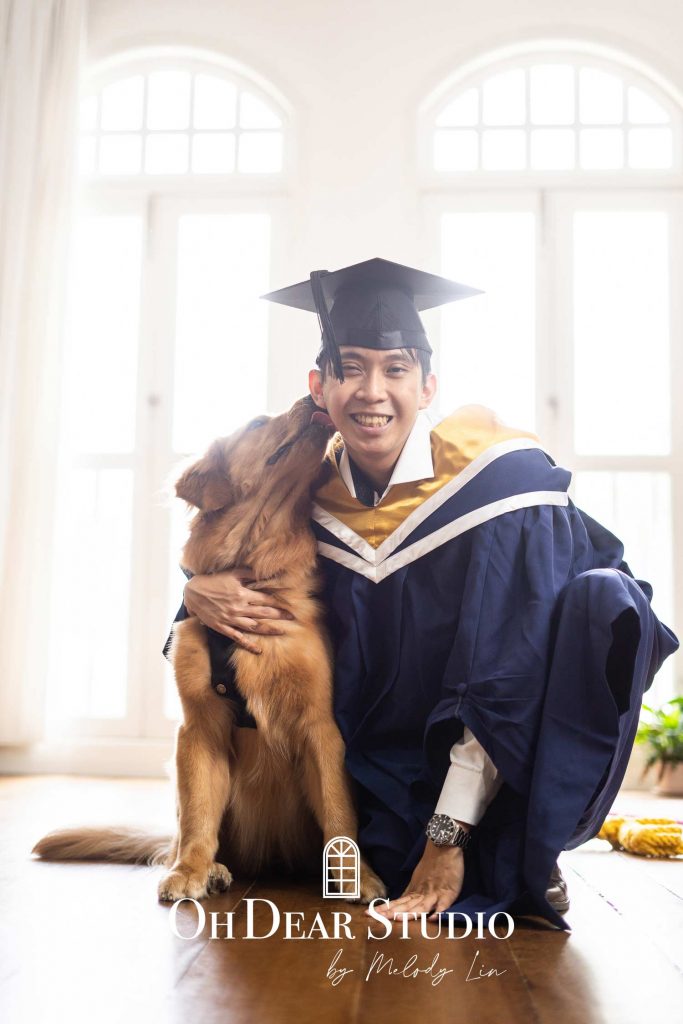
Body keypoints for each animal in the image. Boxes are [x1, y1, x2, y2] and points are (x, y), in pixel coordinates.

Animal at [31, 395, 385, 909]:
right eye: (257, 423)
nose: (312, 399)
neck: (255, 565)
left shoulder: (321, 725)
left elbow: (339, 811)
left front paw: (357, 875)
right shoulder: (198, 726)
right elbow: (199, 811)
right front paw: (192, 870)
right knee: (183, 831)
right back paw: (206, 866)